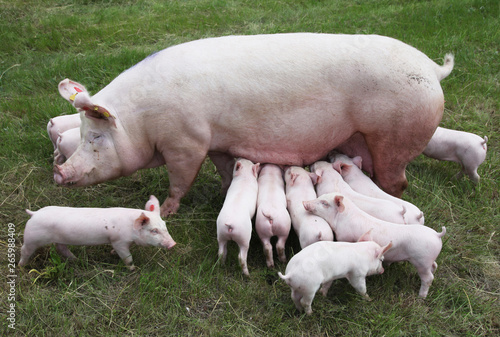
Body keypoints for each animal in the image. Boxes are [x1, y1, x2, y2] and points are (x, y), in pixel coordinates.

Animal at [18, 194, 177, 270]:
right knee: (24, 250)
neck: (131, 228)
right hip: (32, 238)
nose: (173, 244)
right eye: (154, 230)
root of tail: (34, 214)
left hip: (58, 239)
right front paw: (133, 268)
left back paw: (76, 260)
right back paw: (21, 266)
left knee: (61, 248)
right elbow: (127, 257)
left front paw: (112, 254)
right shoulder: (118, 241)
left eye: (165, 225)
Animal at [53, 32, 454, 215]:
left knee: (398, 181)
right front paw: (222, 192)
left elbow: (180, 180)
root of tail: (433, 69)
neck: (143, 120)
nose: (59, 173)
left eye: (96, 137)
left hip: (394, 136)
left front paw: (166, 211)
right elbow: (223, 168)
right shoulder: (215, 142)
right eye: (84, 134)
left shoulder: (186, 143)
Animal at [302, 192, 448, 296]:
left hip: (421, 260)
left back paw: (421, 297)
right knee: (434, 265)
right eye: (320, 197)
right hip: (428, 260)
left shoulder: (345, 237)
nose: (304, 202)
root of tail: (437, 235)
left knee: (428, 278)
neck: (342, 219)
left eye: (324, 203)